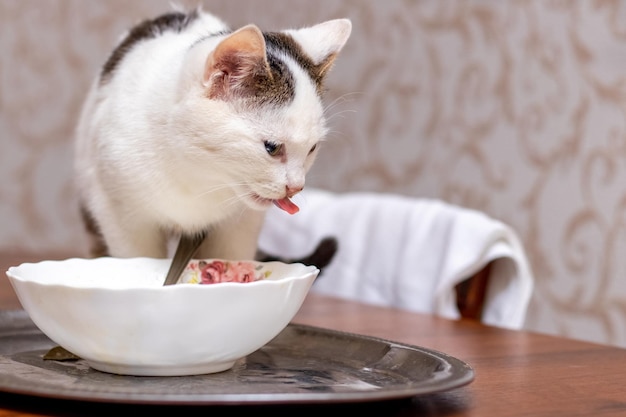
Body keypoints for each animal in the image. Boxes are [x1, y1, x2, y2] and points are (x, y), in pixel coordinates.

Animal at [74, 6, 352, 260]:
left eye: (312, 148)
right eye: (272, 147)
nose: (295, 187)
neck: (197, 175)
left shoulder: (240, 225)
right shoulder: (121, 215)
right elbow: (136, 258)